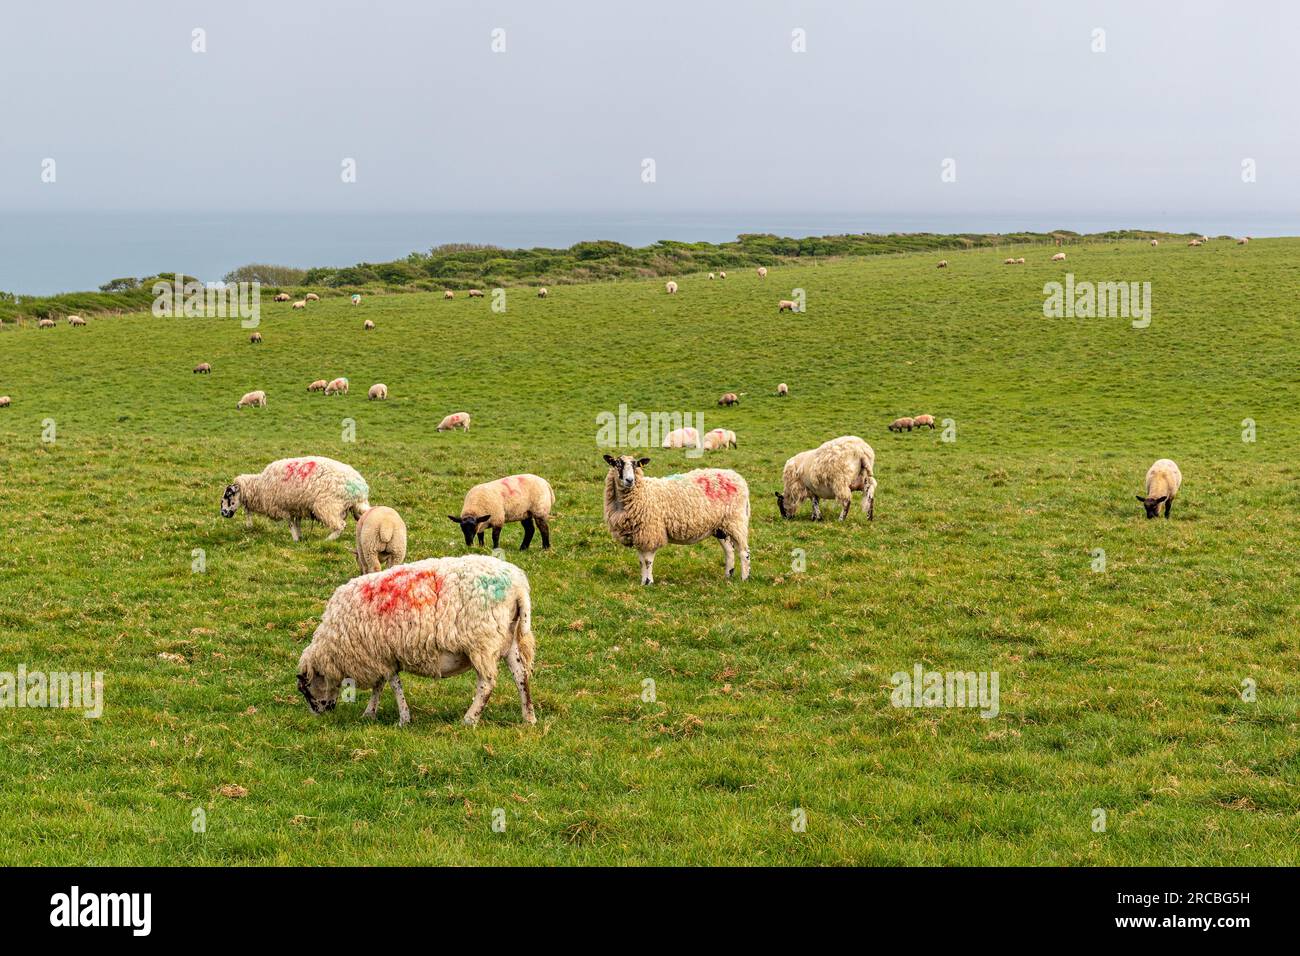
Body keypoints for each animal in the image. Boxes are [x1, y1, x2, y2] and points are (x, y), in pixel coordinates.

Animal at [219, 455, 371, 541]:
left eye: (228, 495)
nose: (223, 513)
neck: (259, 487)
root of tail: (360, 488)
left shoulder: (283, 507)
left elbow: (290, 524)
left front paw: (295, 539)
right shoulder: (297, 507)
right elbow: (297, 524)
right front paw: (300, 538)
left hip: (327, 505)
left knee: (340, 525)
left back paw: (327, 540)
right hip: (354, 507)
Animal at [297, 554, 535, 723]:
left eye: (305, 689)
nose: (318, 714)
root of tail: (519, 586)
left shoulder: (381, 656)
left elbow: (393, 685)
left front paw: (403, 718)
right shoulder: (381, 657)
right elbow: (380, 686)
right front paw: (370, 714)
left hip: (482, 643)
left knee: (487, 683)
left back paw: (470, 719)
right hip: (508, 639)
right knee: (521, 676)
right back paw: (529, 718)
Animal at [600, 455, 754, 582]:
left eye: (636, 465)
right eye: (617, 464)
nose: (630, 480)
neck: (642, 492)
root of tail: (737, 477)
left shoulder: (651, 532)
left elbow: (648, 561)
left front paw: (648, 582)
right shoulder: (639, 535)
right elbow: (641, 561)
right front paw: (643, 581)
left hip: (736, 521)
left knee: (744, 552)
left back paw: (744, 578)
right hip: (720, 526)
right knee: (729, 550)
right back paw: (728, 575)